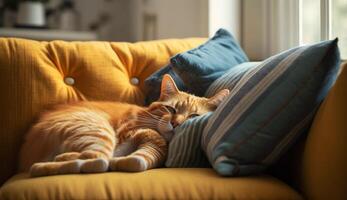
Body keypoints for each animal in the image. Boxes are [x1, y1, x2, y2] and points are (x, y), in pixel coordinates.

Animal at [19, 74, 231, 177]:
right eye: (170, 109)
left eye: (193, 116)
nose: (175, 123)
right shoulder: (129, 131)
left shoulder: (150, 149)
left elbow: (138, 160)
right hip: (97, 131)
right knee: (97, 159)